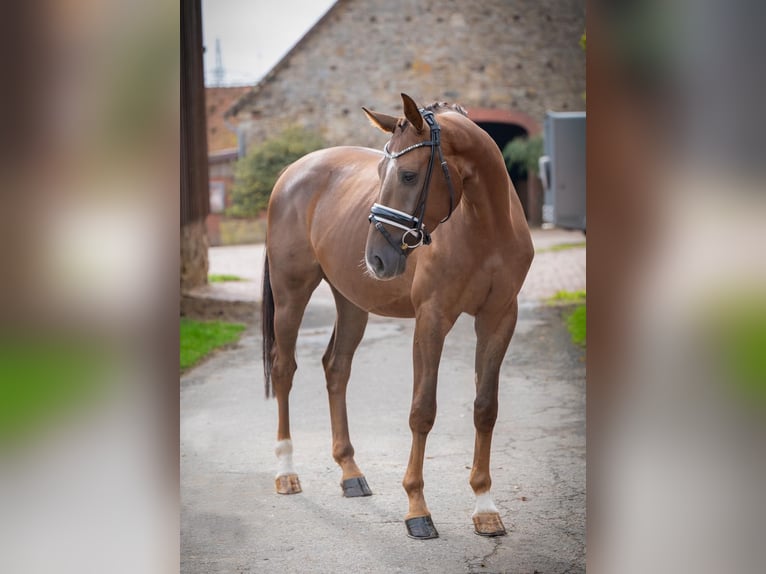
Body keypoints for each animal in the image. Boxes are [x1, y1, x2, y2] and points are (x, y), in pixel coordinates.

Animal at [261, 93, 533, 539]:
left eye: (408, 175)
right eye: (379, 172)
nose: (377, 257)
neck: (485, 225)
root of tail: (291, 172)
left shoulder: (499, 318)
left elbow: (485, 408)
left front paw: (484, 506)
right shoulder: (432, 318)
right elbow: (422, 411)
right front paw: (417, 509)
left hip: (352, 302)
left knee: (336, 368)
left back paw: (350, 473)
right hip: (290, 295)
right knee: (284, 369)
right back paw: (286, 471)